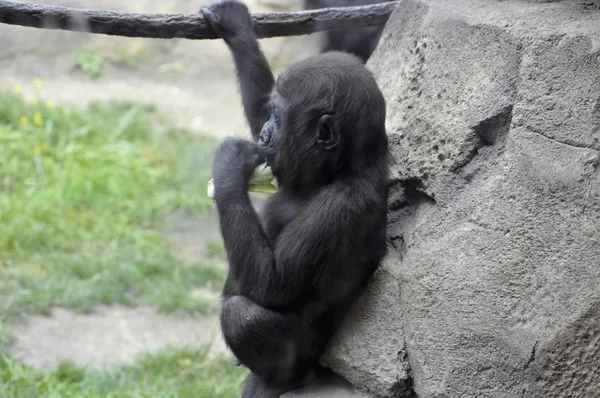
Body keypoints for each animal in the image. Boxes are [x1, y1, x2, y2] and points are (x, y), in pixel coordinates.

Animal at [200, 1, 390, 396]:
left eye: (279, 117)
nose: (265, 134)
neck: (339, 169)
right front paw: (236, 29)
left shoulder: (342, 204)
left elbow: (274, 285)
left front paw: (229, 166)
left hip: (309, 356)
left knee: (242, 316)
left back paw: (286, 379)